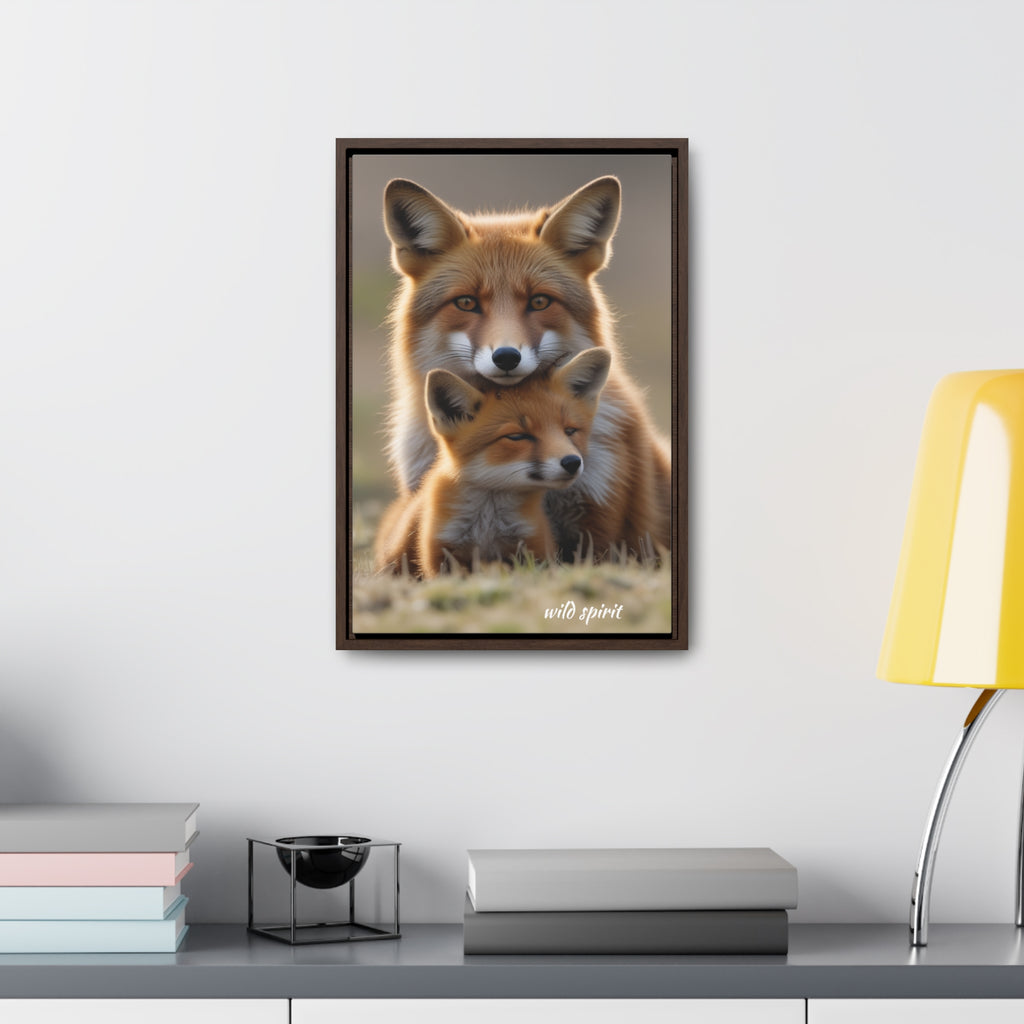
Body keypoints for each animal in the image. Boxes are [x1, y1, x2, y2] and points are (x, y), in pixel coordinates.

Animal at [374, 348, 611, 579]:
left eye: (570, 431)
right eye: (517, 436)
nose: (572, 462)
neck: (487, 525)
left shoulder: (533, 547)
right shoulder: (442, 553)